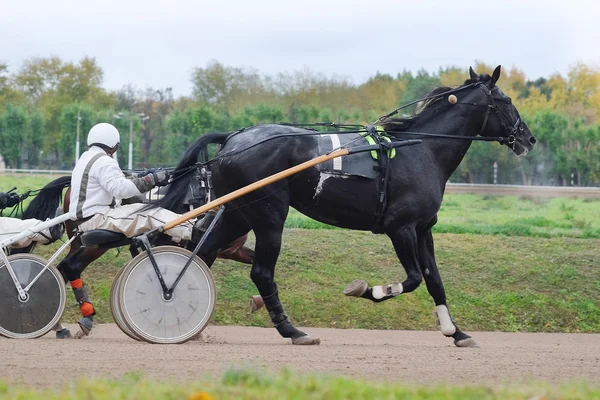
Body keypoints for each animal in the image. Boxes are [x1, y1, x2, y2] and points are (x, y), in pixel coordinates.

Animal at [149, 66, 536, 346]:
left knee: (203, 253)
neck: (421, 149)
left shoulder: (424, 228)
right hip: (268, 214)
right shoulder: (400, 228)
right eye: (506, 99)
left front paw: (456, 333)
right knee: (260, 272)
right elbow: (411, 279)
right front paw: (369, 290)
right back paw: (292, 331)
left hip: (237, 212)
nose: (529, 138)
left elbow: (434, 281)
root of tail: (233, 138)